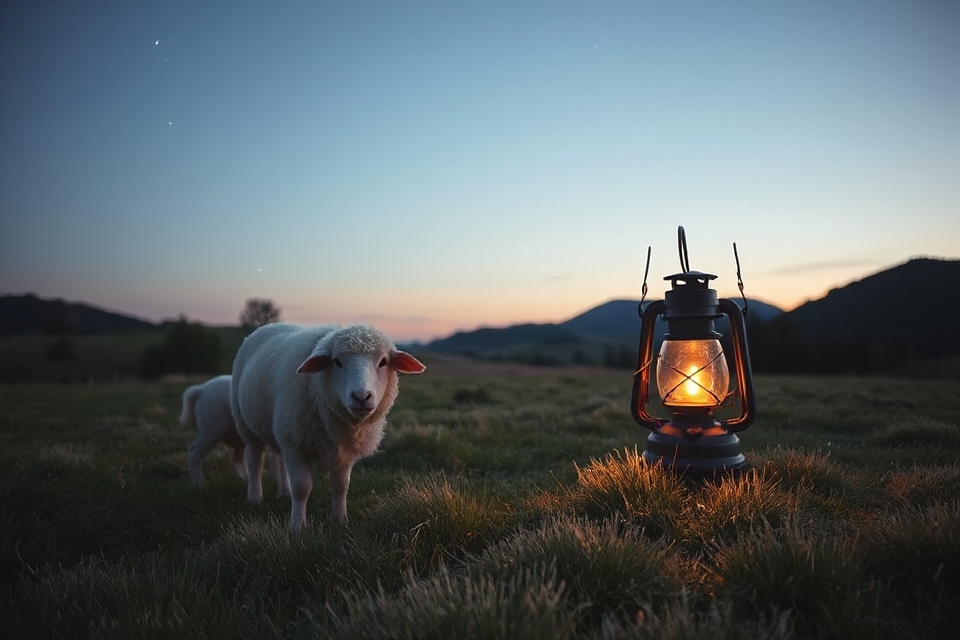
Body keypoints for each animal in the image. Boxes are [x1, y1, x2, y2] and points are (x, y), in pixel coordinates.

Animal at [231, 323, 425, 529]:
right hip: (247, 425)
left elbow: (341, 485)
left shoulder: (343, 451)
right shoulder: (294, 445)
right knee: (255, 461)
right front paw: (297, 525)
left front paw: (340, 519)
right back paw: (254, 498)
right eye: (337, 362)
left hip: (281, 427)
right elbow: (301, 487)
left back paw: (284, 491)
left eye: (383, 362)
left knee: (279, 459)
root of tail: (270, 325)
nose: (361, 396)